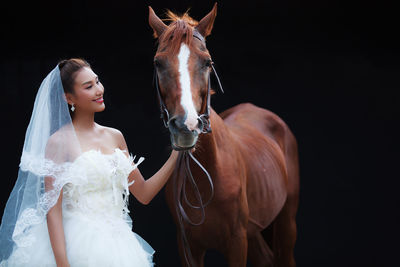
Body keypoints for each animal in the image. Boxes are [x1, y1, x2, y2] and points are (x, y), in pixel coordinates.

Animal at [148, 4, 298, 267]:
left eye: (207, 62)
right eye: (158, 63)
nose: (186, 126)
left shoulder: (237, 242)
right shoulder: (188, 247)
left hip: (286, 222)